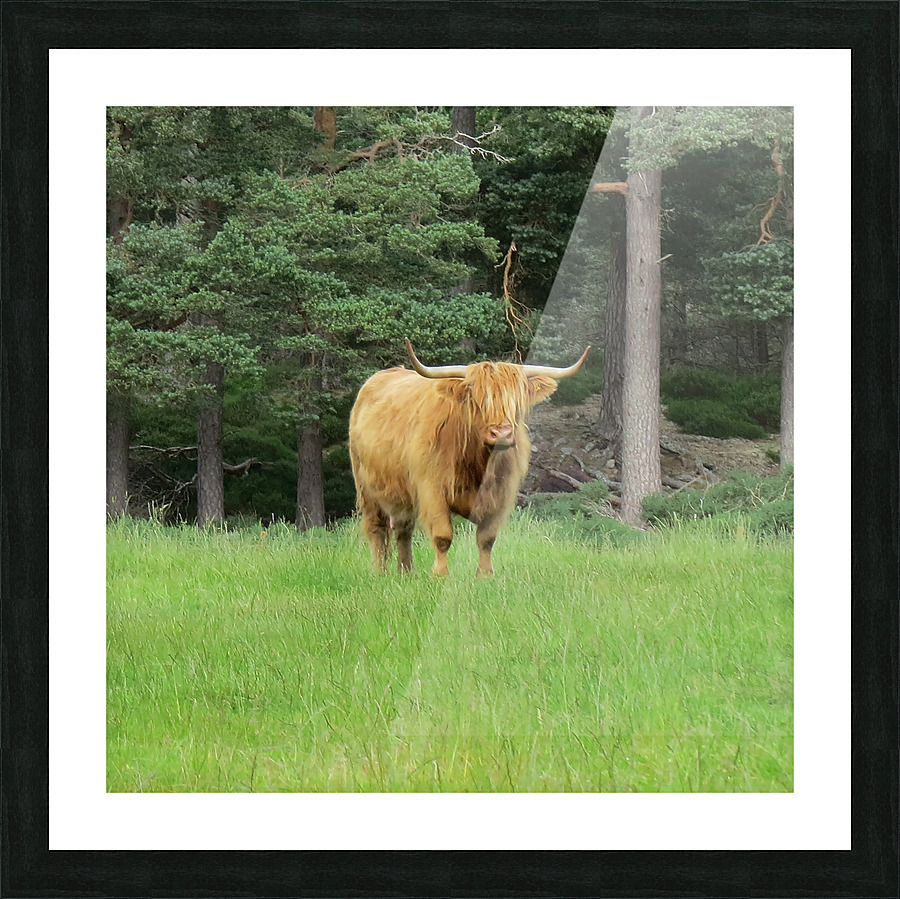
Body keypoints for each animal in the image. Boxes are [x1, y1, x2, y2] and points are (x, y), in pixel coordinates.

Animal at [348, 339, 590, 576]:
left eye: (517, 399)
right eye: (477, 398)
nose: (501, 433)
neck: (478, 463)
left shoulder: (500, 493)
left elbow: (487, 538)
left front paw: (484, 575)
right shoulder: (432, 489)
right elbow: (443, 536)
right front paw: (441, 575)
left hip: (401, 494)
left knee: (403, 529)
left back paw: (406, 572)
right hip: (366, 487)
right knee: (377, 528)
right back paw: (379, 572)